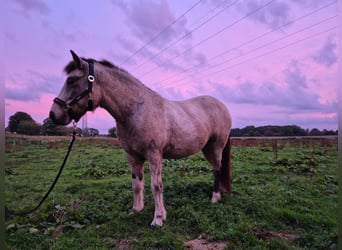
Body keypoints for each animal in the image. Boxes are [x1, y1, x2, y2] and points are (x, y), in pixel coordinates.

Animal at [48, 50, 232, 227]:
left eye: (71, 80)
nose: (53, 114)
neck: (136, 110)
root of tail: (222, 106)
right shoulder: (132, 156)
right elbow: (136, 184)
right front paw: (136, 210)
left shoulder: (154, 154)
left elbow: (156, 186)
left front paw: (158, 219)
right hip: (207, 148)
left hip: (216, 147)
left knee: (217, 169)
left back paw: (215, 197)